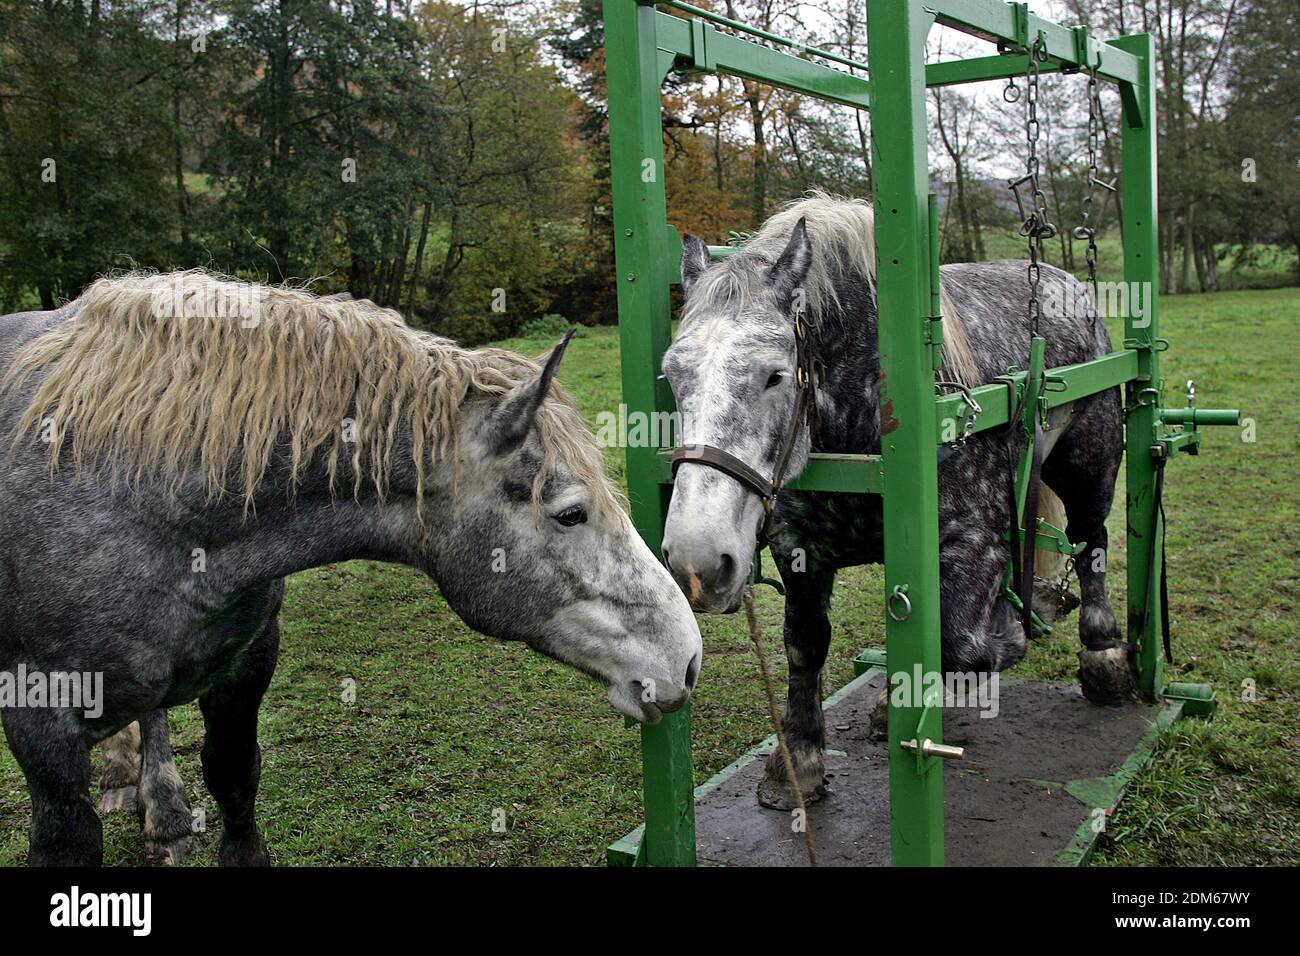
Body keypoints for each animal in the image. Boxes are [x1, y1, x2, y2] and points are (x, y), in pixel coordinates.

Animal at [0, 271, 702, 865]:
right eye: (570, 514)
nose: (688, 657)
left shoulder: (247, 665)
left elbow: (234, 778)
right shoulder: (37, 715)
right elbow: (67, 836)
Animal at [660, 191, 1131, 809]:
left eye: (774, 375)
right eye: (671, 375)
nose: (697, 561)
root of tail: (1062, 281)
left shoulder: (971, 542)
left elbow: (960, 647)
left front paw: (994, 647)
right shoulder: (799, 549)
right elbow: (805, 645)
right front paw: (799, 761)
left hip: (1088, 463)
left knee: (1091, 538)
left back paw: (1103, 652)